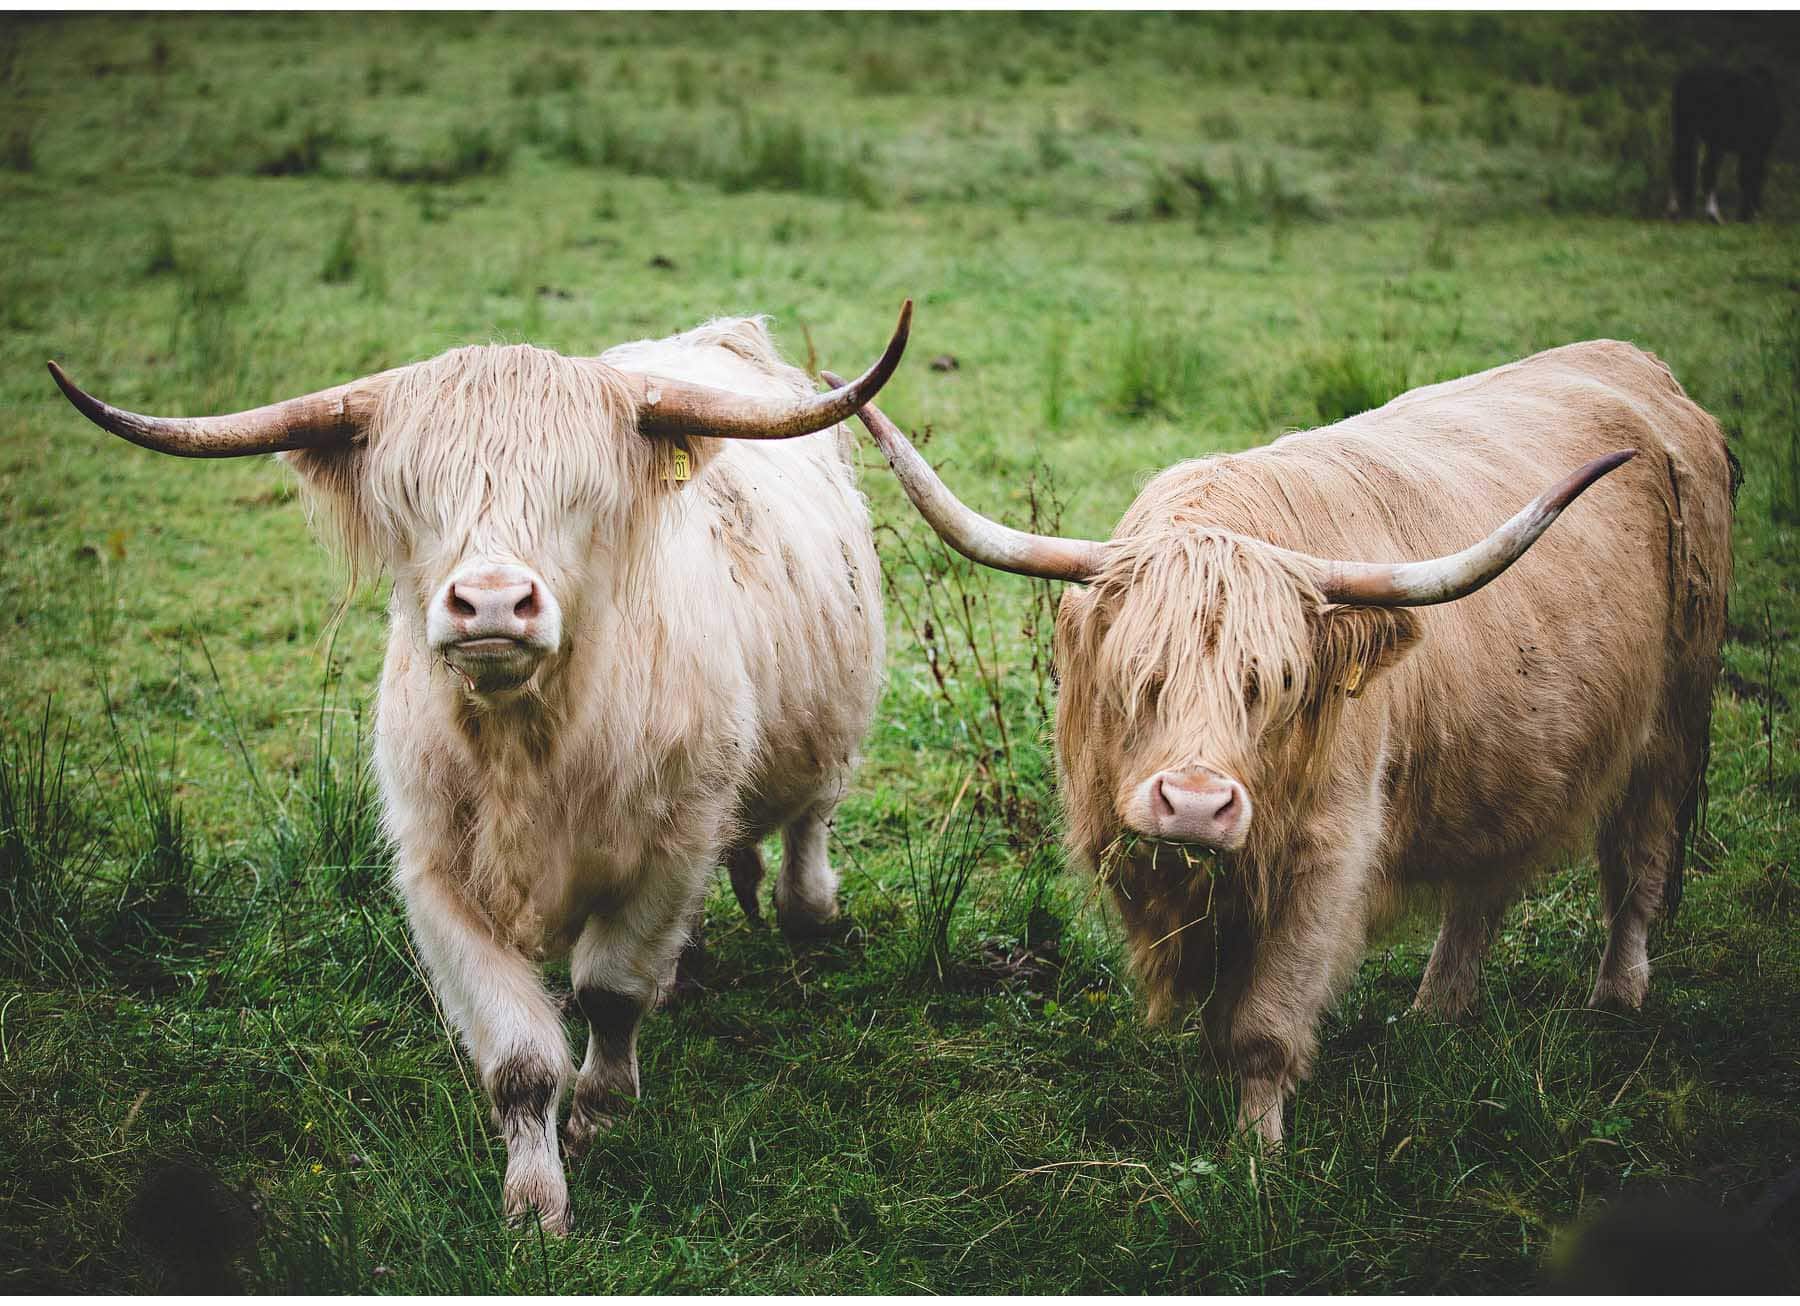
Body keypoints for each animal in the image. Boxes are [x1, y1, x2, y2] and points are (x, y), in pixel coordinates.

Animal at [51, 300, 912, 1232]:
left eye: (581, 495)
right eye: (412, 495)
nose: (493, 603)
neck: (527, 742)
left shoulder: (670, 849)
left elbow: (611, 991)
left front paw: (600, 1117)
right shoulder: (436, 876)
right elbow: (520, 1058)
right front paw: (535, 1202)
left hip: (830, 735)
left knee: (806, 827)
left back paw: (806, 906)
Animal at [828, 338, 1731, 1148]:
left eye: (1276, 682)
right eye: (1139, 673)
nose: (1196, 806)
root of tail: (1644, 371)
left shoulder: (1326, 857)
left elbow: (1264, 1023)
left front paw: (1255, 1153)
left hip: (1674, 721)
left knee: (1637, 861)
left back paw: (1616, 997)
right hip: (1506, 755)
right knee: (1482, 883)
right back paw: (1435, 1010)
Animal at [1667, 65, 1783, 223]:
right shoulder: (1754, 149)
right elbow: (1748, 176)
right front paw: (1746, 215)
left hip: (1685, 130)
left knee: (1680, 164)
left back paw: (1677, 210)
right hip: (1714, 139)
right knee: (1707, 171)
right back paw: (1714, 215)